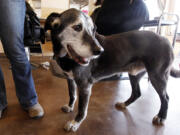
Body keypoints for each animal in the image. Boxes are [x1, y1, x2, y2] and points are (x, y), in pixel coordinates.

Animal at [44, 8, 180, 132]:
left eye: (93, 30)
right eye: (77, 27)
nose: (100, 51)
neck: (66, 56)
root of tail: (165, 39)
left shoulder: (85, 85)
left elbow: (82, 109)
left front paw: (75, 123)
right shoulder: (70, 78)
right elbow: (72, 95)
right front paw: (69, 106)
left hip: (157, 76)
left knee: (165, 98)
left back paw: (161, 117)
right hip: (134, 74)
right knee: (137, 93)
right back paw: (124, 104)